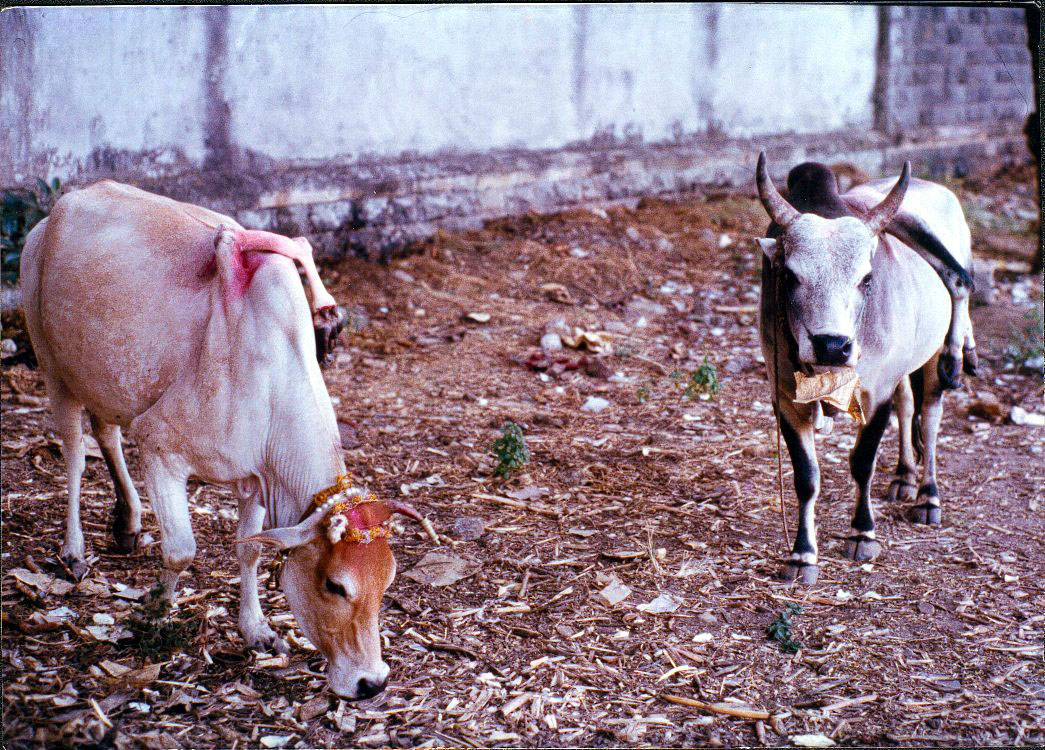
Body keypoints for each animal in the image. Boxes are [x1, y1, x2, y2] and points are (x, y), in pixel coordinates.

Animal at [20, 180, 420, 697]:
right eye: (336, 585)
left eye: (387, 582)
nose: (372, 683)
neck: (271, 381)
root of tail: (59, 209)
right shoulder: (160, 447)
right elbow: (181, 551)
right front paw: (154, 613)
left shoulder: (256, 479)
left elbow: (250, 548)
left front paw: (257, 629)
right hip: (53, 367)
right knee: (73, 454)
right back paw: (74, 550)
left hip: (107, 379)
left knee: (105, 432)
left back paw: (127, 522)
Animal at [756, 154, 973, 589]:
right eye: (789, 275)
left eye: (867, 278)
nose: (832, 345)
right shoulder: (784, 397)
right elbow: (806, 476)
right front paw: (802, 555)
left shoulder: (878, 392)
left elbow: (862, 462)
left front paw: (862, 534)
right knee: (908, 408)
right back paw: (904, 478)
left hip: (932, 356)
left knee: (931, 415)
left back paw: (927, 496)